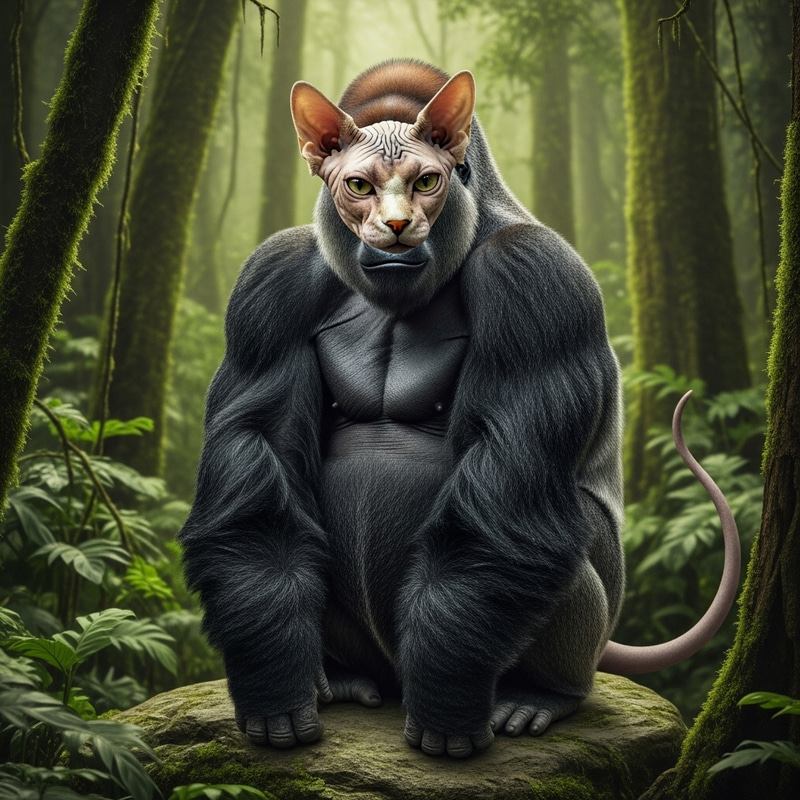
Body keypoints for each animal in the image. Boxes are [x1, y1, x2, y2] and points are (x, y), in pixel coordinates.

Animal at [178, 60, 740, 758]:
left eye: (427, 181)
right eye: (358, 185)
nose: (395, 228)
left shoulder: (533, 276)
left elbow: (499, 506)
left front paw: (448, 697)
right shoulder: (271, 278)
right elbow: (263, 473)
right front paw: (273, 679)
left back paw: (543, 693)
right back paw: (337, 676)